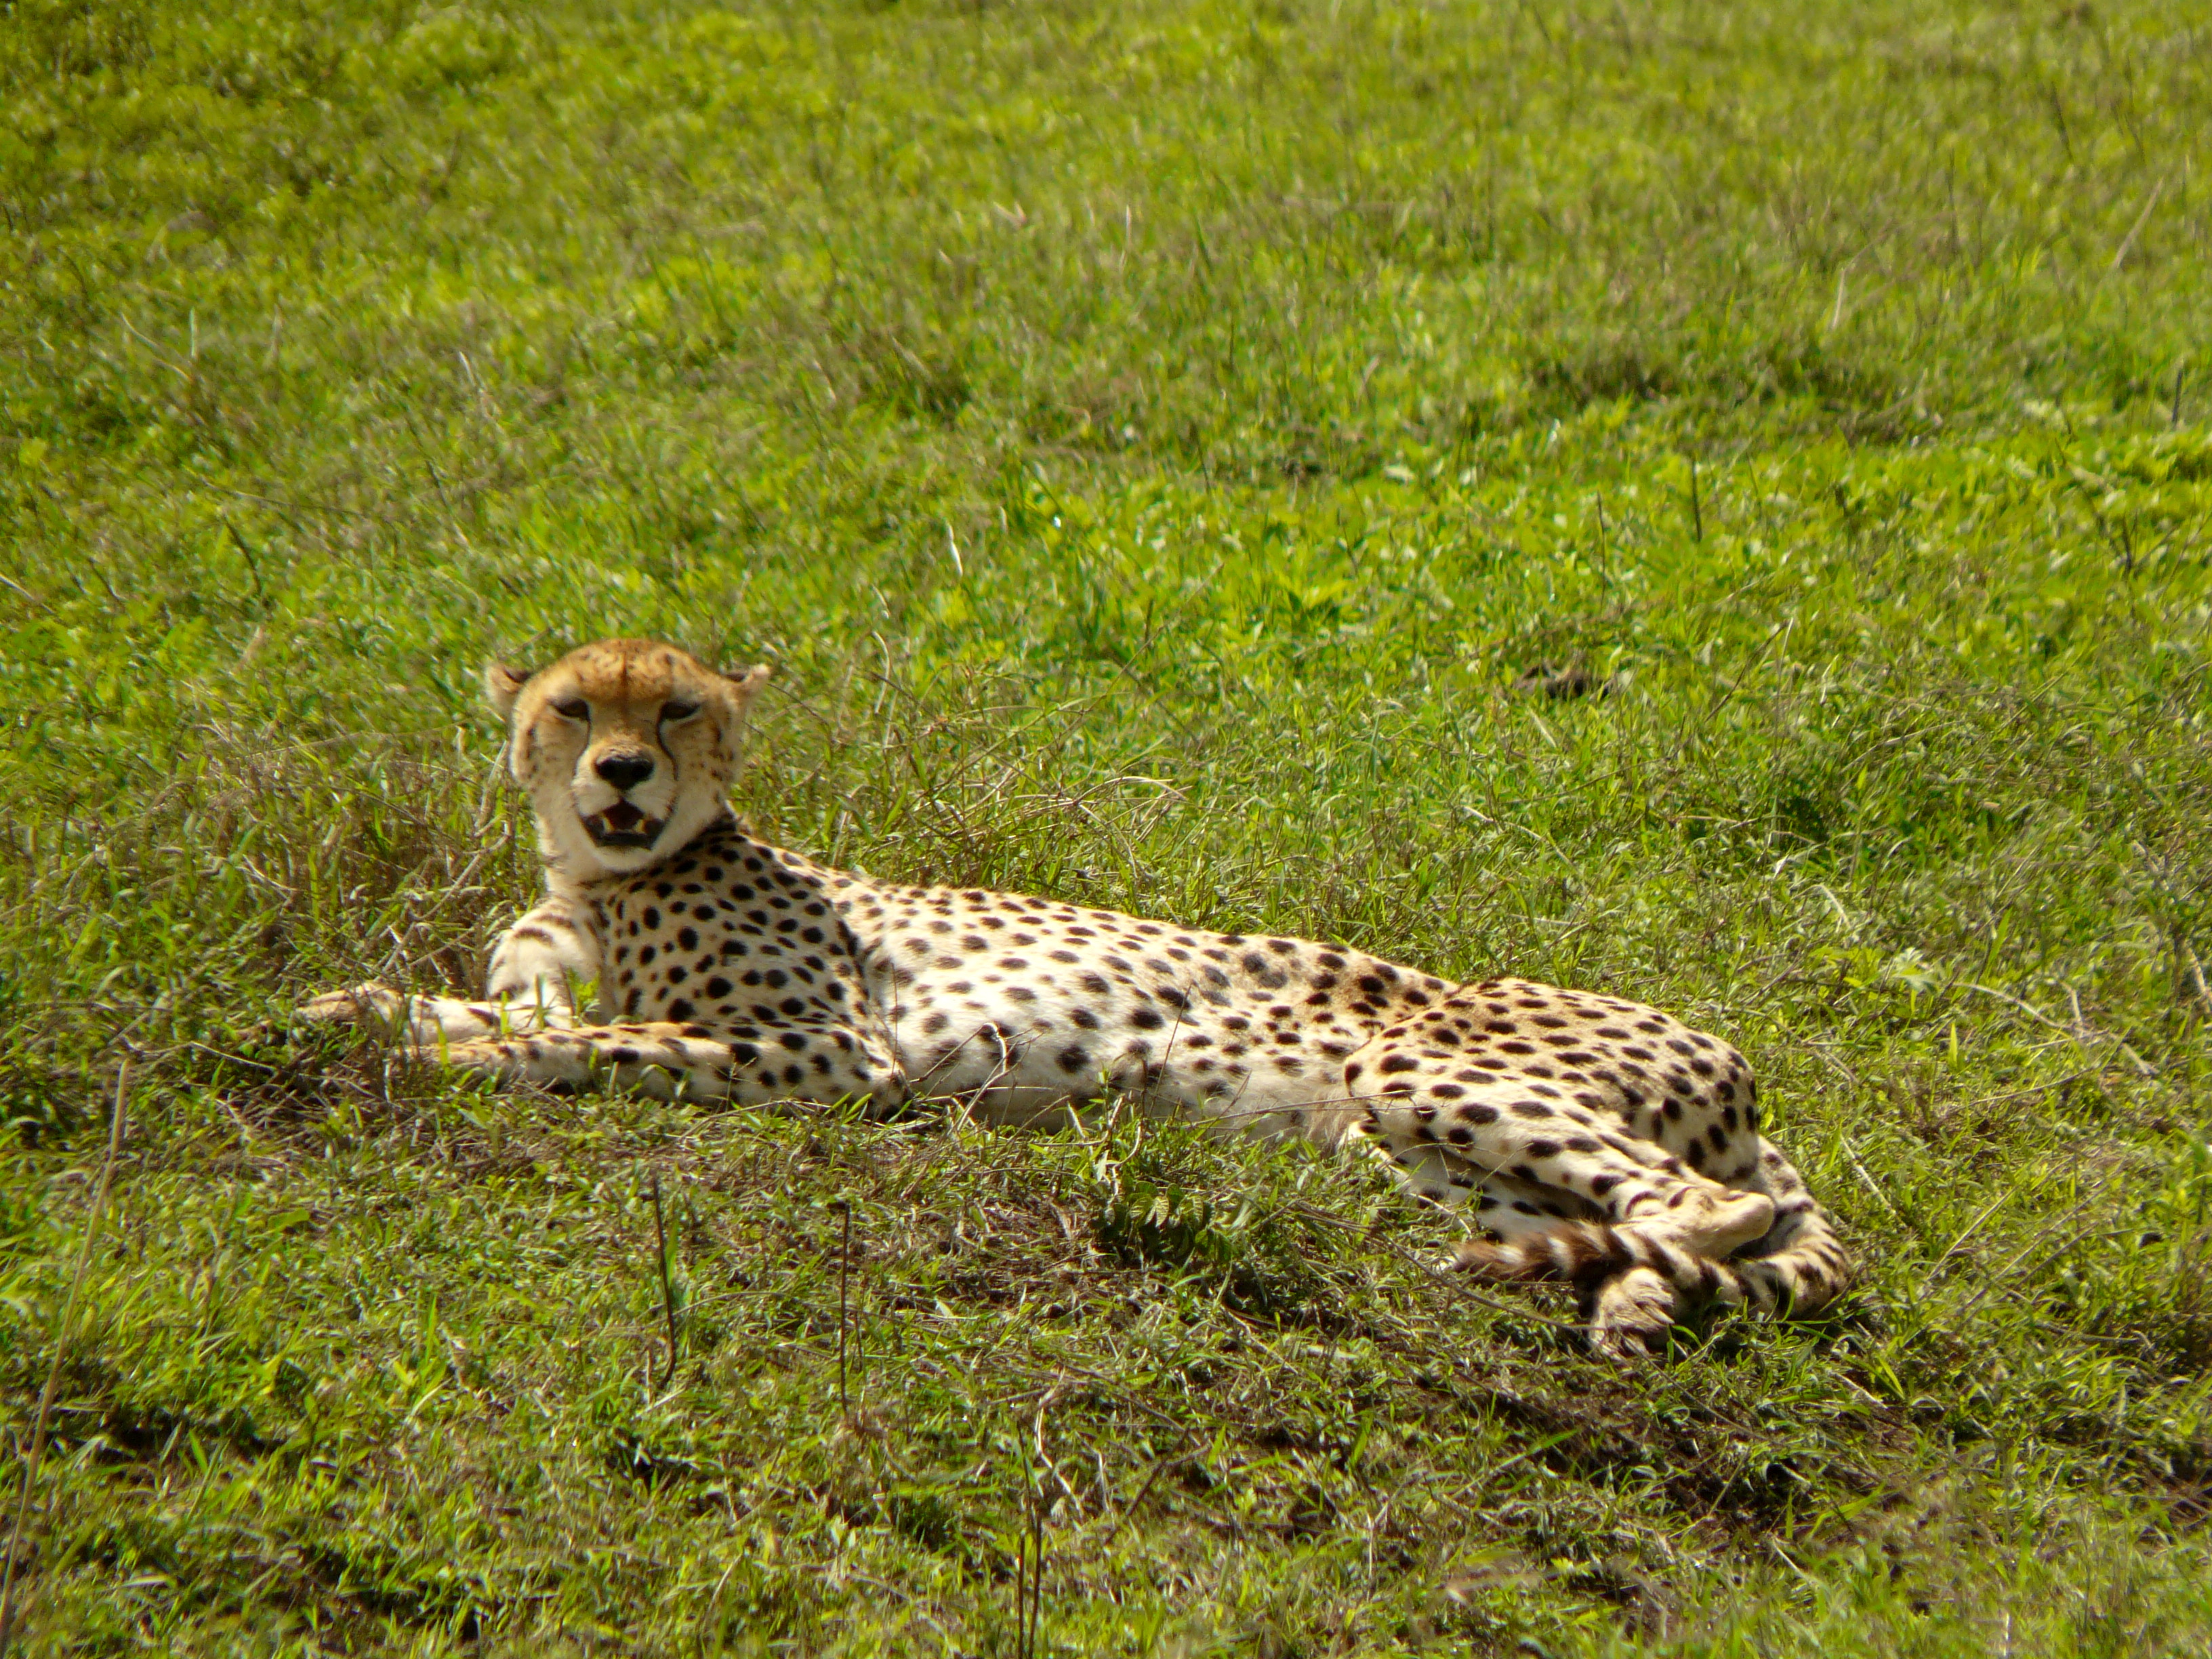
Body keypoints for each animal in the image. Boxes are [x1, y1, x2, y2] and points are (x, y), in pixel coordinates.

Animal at [294, 637, 1849, 1353]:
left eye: (674, 709)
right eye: (572, 707)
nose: (620, 770)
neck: (606, 874)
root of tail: (1736, 1065)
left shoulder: (831, 1049)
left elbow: (602, 1044)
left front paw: (428, 1052)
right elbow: (508, 1014)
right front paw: (354, 1014)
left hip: (1429, 1071)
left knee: (1689, 1197)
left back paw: (1649, 1267)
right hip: (1407, 1153)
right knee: (1620, 1216)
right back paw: (1625, 1301)